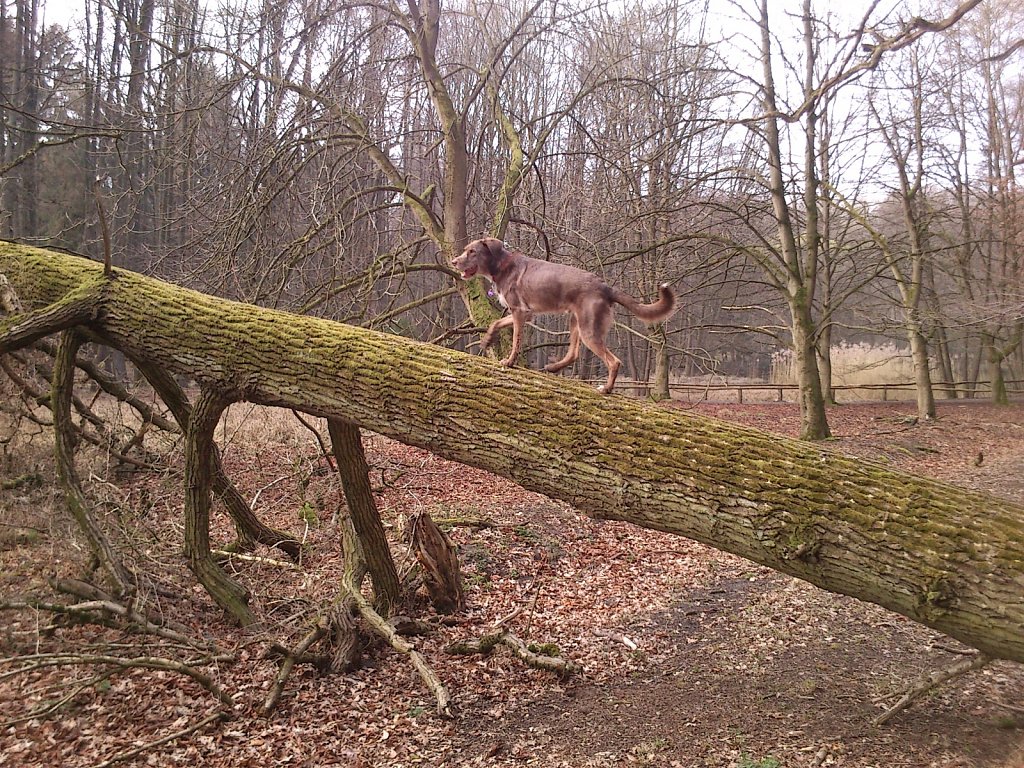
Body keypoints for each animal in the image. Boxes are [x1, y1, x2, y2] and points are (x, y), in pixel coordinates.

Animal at [452, 237, 675, 393]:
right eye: (465, 250)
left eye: (472, 251)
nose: (454, 262)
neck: (501, 265)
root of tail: (605, 287)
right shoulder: (524, 314)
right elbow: (495, 322)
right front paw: (487, 341)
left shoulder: (519, 311)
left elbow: (515, 341)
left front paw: (509, 362)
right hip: (575, 321)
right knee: (573, 353)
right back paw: (552, 368)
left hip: (588, 329)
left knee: (614, 361)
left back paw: (606, 389)